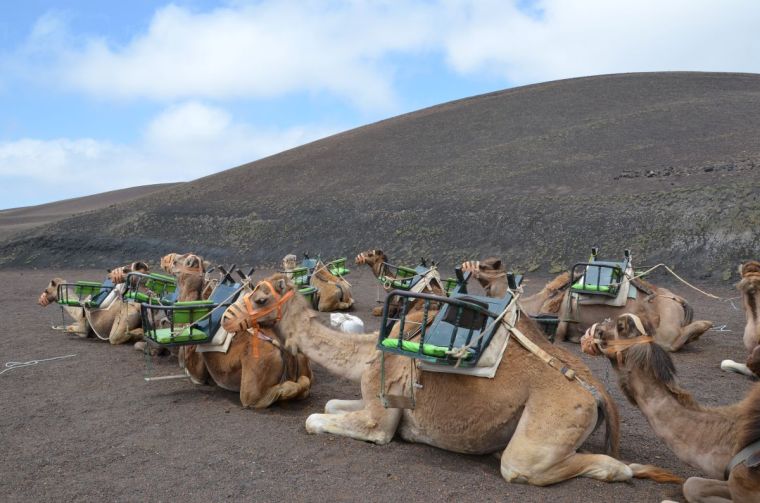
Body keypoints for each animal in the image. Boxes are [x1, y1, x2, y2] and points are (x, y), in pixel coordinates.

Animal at [220, 273, 686, 487]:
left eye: (259, 297)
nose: (224, 317)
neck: (368, 353)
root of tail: (595, 390)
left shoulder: (379, 421)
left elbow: (315, 419)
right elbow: (332, 405)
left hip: (550, 422)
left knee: (524, 465)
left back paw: (621, 469)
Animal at [461, 257, 712, 351]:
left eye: (484, 266)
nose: (467, 265)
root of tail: (677, 299)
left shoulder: (559, 325)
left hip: (666, 324)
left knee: (670, 341)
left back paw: (705, 326)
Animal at [581, 314, 760, 502]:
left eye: (619, 326)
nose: (591, 330)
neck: (733, 442)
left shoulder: (744, 485)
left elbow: (691, 485)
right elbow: (691, 484)